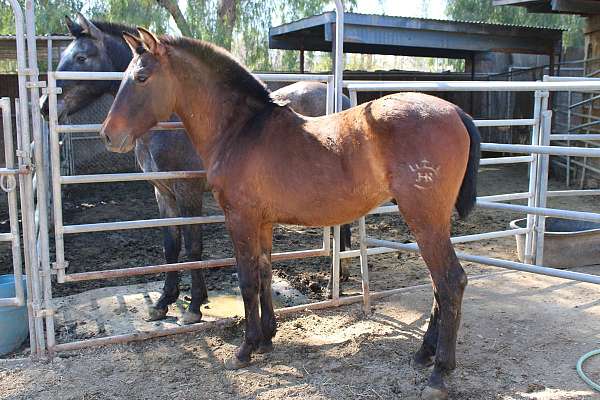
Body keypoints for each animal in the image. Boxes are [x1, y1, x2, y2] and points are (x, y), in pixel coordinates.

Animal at [39, 14, 352, 324]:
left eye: (80, 57)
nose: (45, 106)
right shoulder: (162, 192)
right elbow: (171, 245)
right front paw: (163, 301)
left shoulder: (187, 191)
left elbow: (193, 246)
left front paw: (194, 306)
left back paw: (333, 283)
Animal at [101, 28, 480, 400]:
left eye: (142, 77)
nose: (108, 135)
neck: (240, 129)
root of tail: (456, 112)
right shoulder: (263, 223)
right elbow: (265, 274)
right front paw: (267, 338)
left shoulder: (240, 219)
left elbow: (247, 279)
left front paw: (245, 348)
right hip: (430, 221)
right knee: (438, 284)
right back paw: (423, 354)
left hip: (424, 219)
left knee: (450, 281)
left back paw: (439, 373)